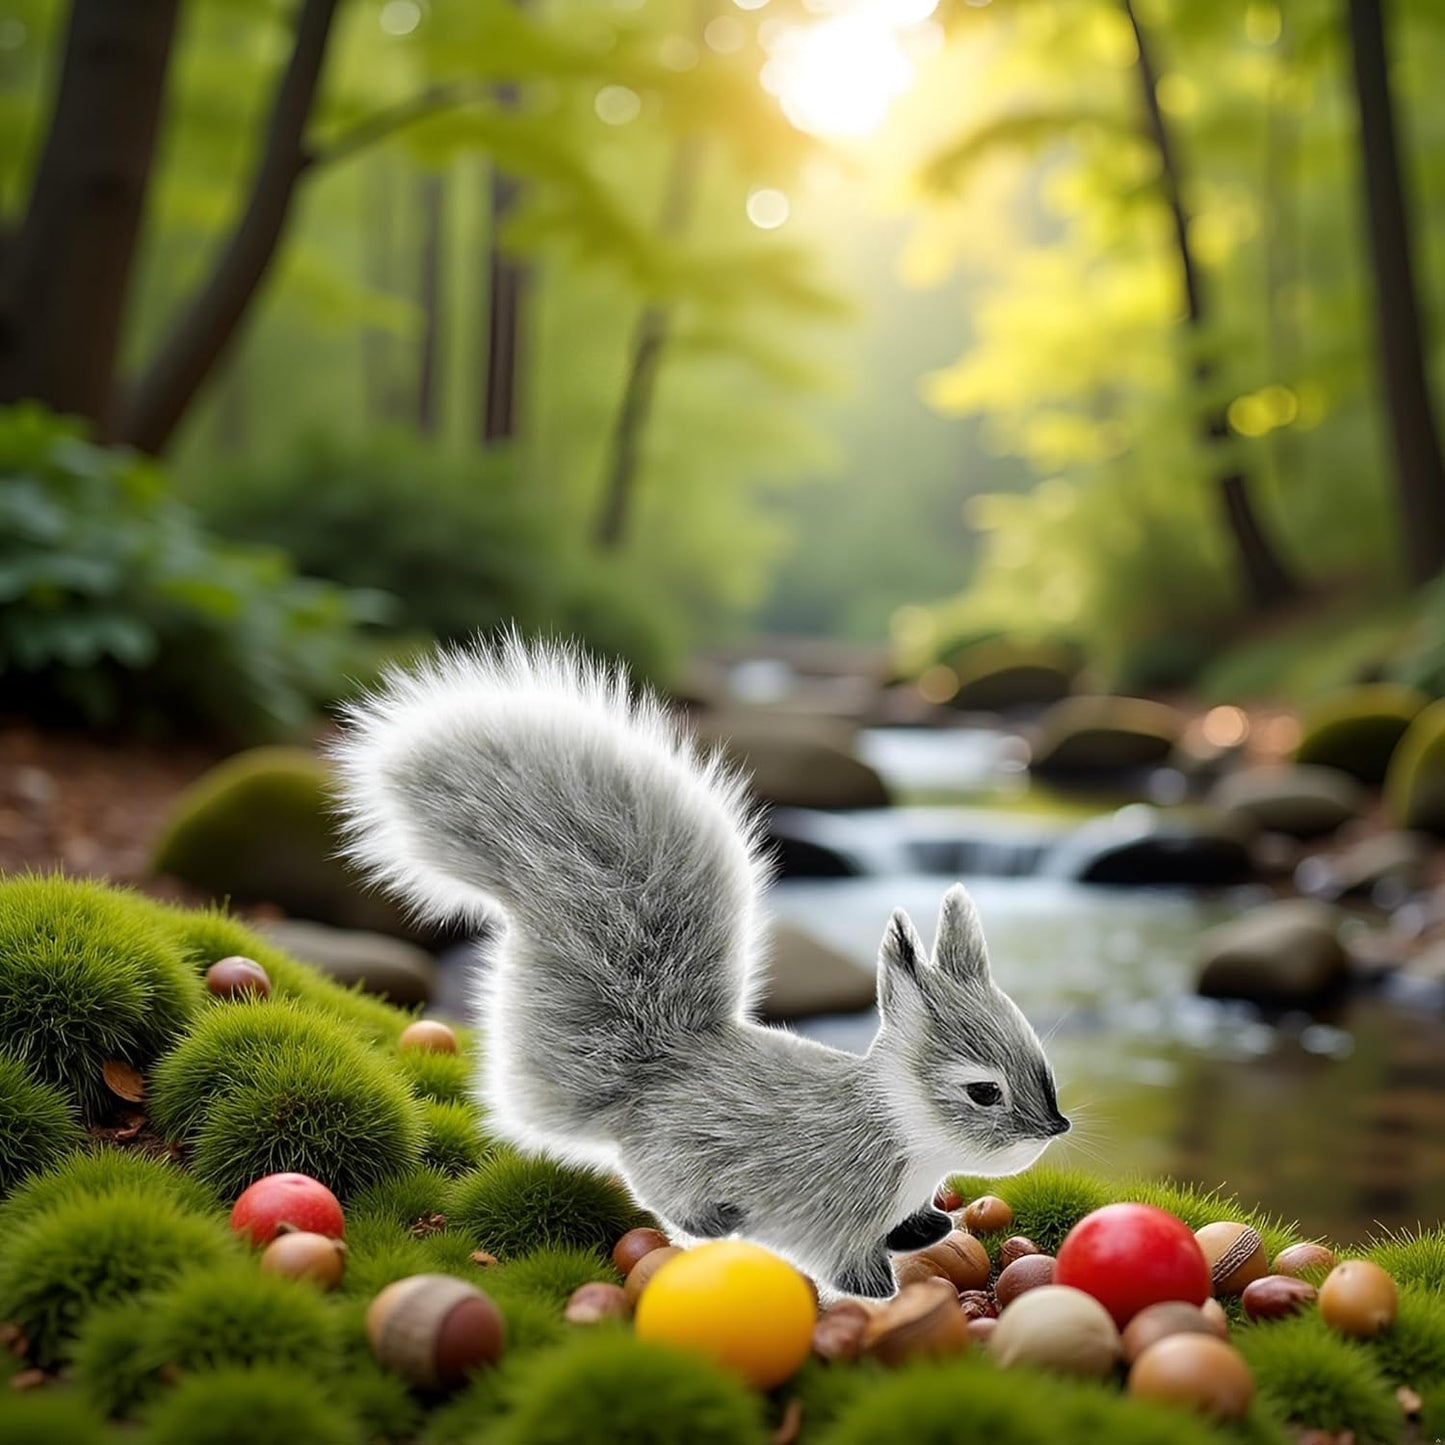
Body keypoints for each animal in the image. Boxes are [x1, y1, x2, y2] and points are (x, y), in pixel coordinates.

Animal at [331, 638, 1069, 1298]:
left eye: (1043, 1068)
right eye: (982, 1092)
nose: (1053, 1131)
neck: (903, 1128)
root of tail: (654, 1070)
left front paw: (920, 1229)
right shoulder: (831, 1199)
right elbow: (838, 1254)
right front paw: (874, 1290)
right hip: (680, 1165)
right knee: (667, 1198)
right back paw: (712, 1221)